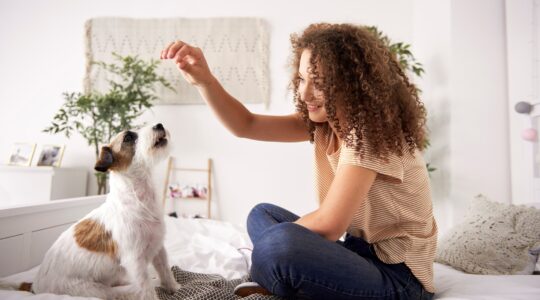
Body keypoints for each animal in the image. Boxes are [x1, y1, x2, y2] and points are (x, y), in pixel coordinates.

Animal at [28, 123, 177, 298]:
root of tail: (34, 287)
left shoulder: (159, 248)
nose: (159, 125)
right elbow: (146, 289)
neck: (139, 198)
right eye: (128, 137)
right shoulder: (135, 261)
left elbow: (165, 270)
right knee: (118, 292)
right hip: (94, 290)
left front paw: (174, 288)